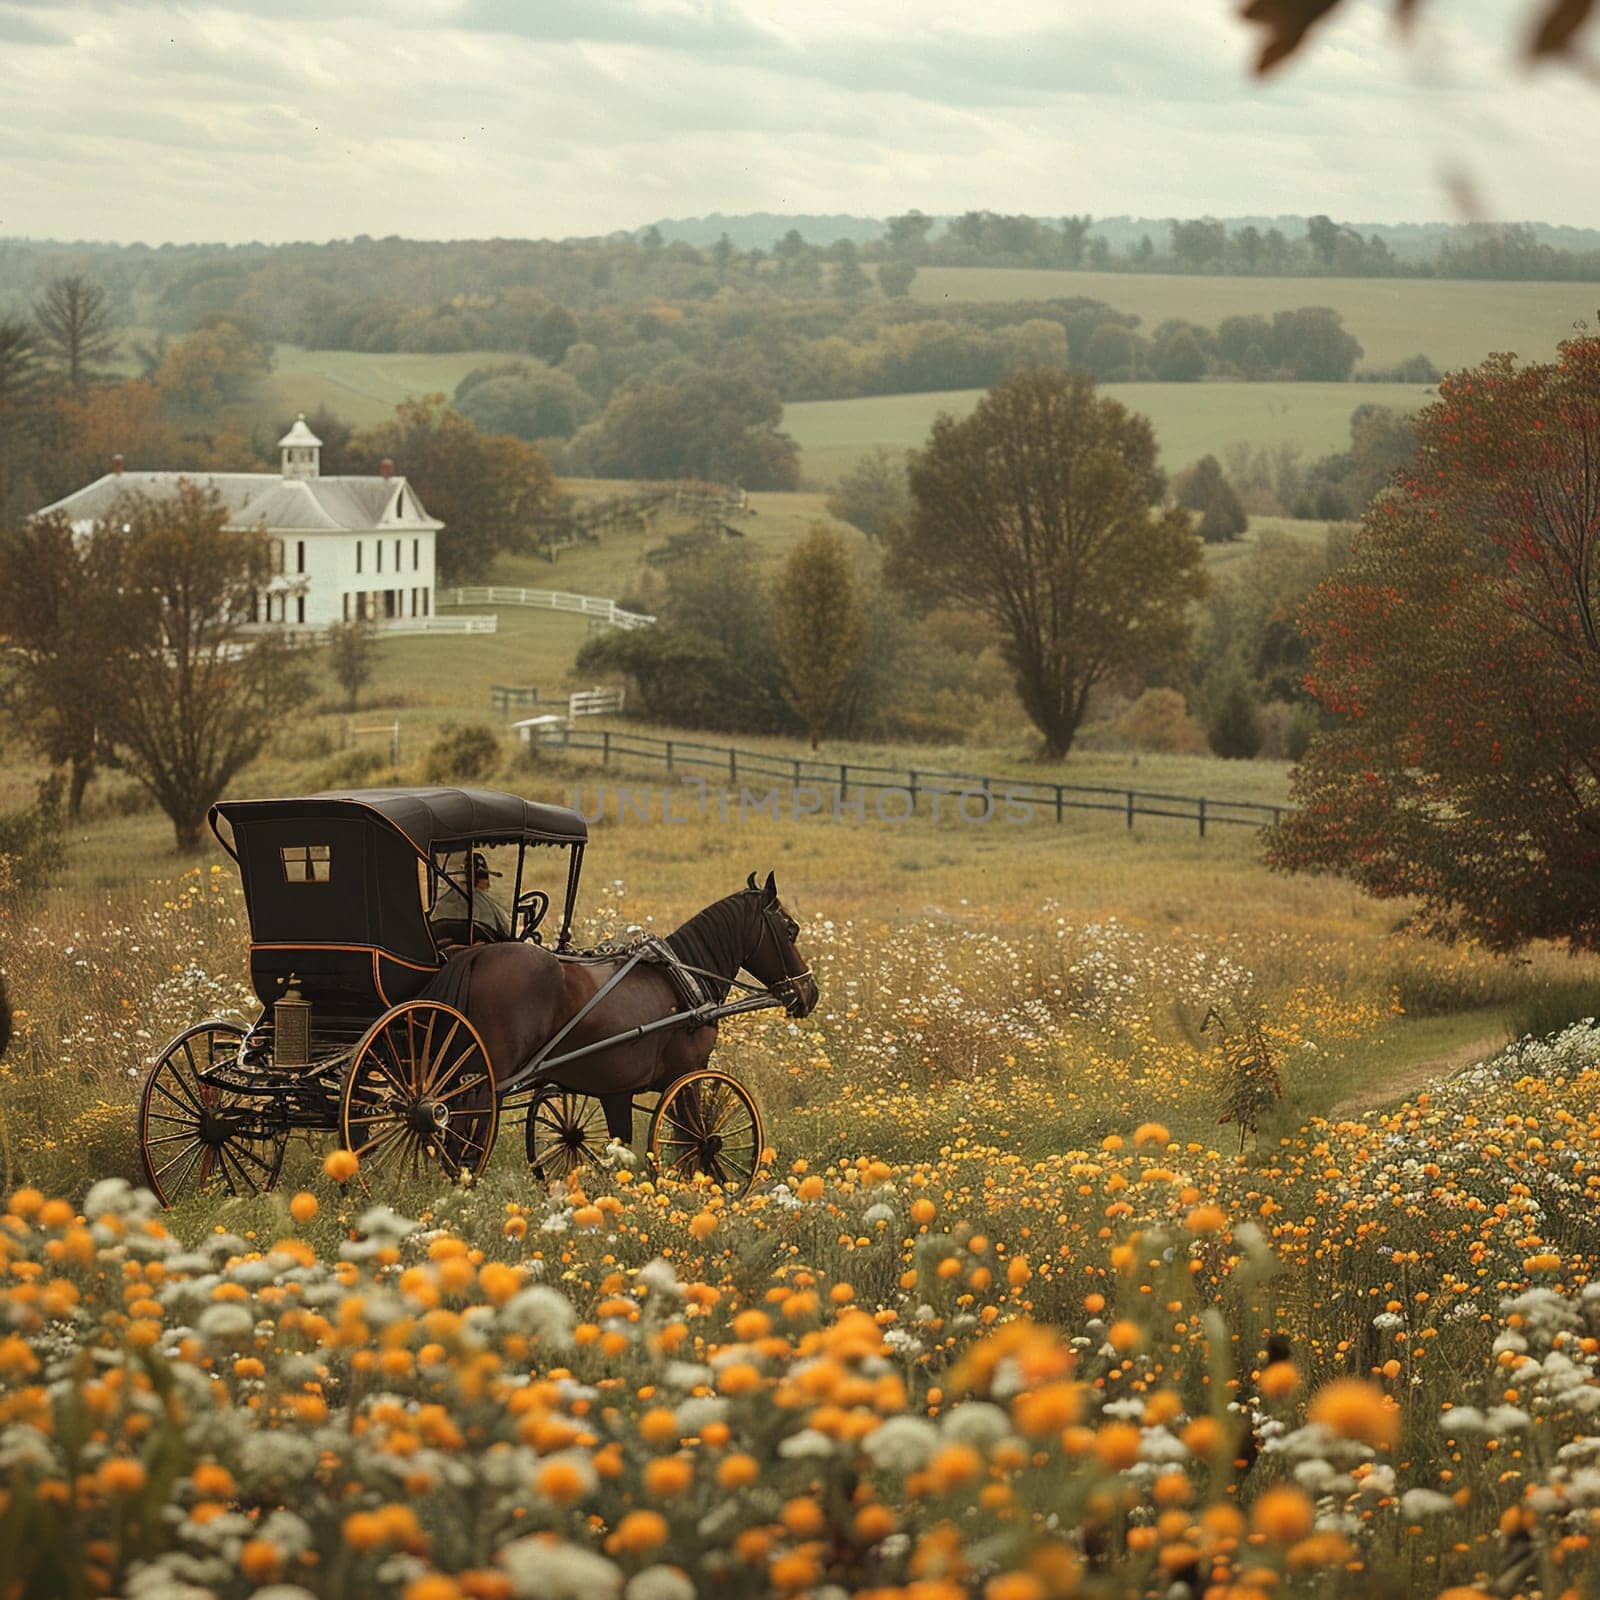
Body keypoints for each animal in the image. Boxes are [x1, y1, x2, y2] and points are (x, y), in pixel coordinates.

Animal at [425, 876, 819, 1139]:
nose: (809, 992)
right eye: (791, 929)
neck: (685, 977)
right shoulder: (688, 1073)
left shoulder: (615, 1091)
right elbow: (696, 1137)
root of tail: (474, 955)